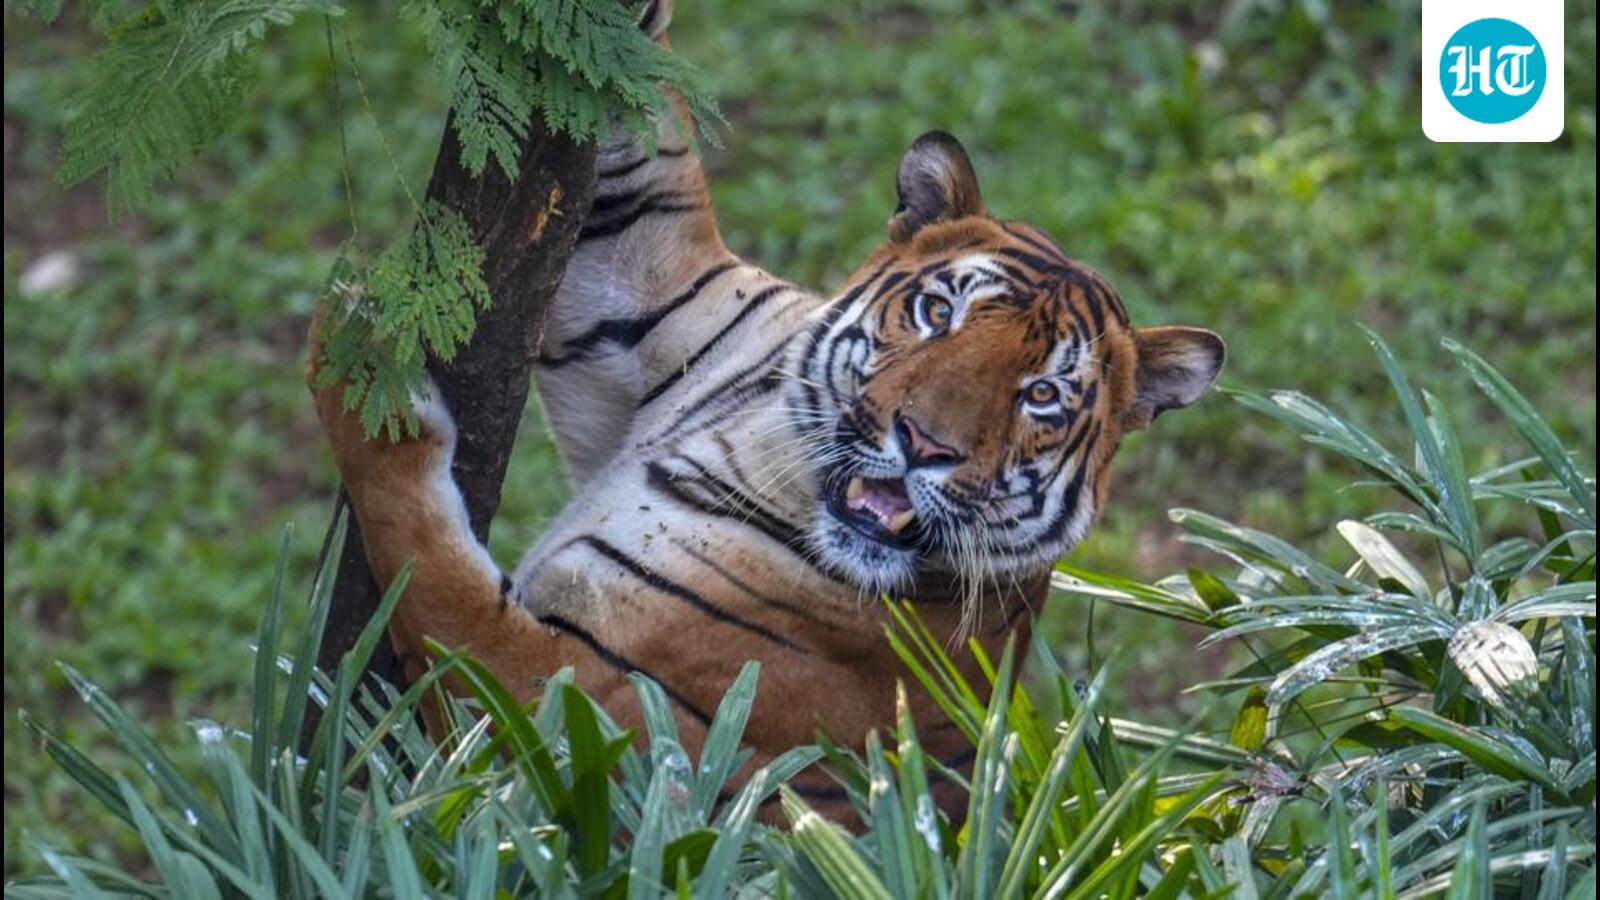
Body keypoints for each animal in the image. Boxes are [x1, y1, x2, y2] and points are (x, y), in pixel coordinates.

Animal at [308, 0, 1224, 819]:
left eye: (1041, 396)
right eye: (939, 313)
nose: (923, 443)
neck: (761, 440)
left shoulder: (587, 717)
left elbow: (423, 561)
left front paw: (357, 354)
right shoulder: (644, 302)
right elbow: (643, 156)